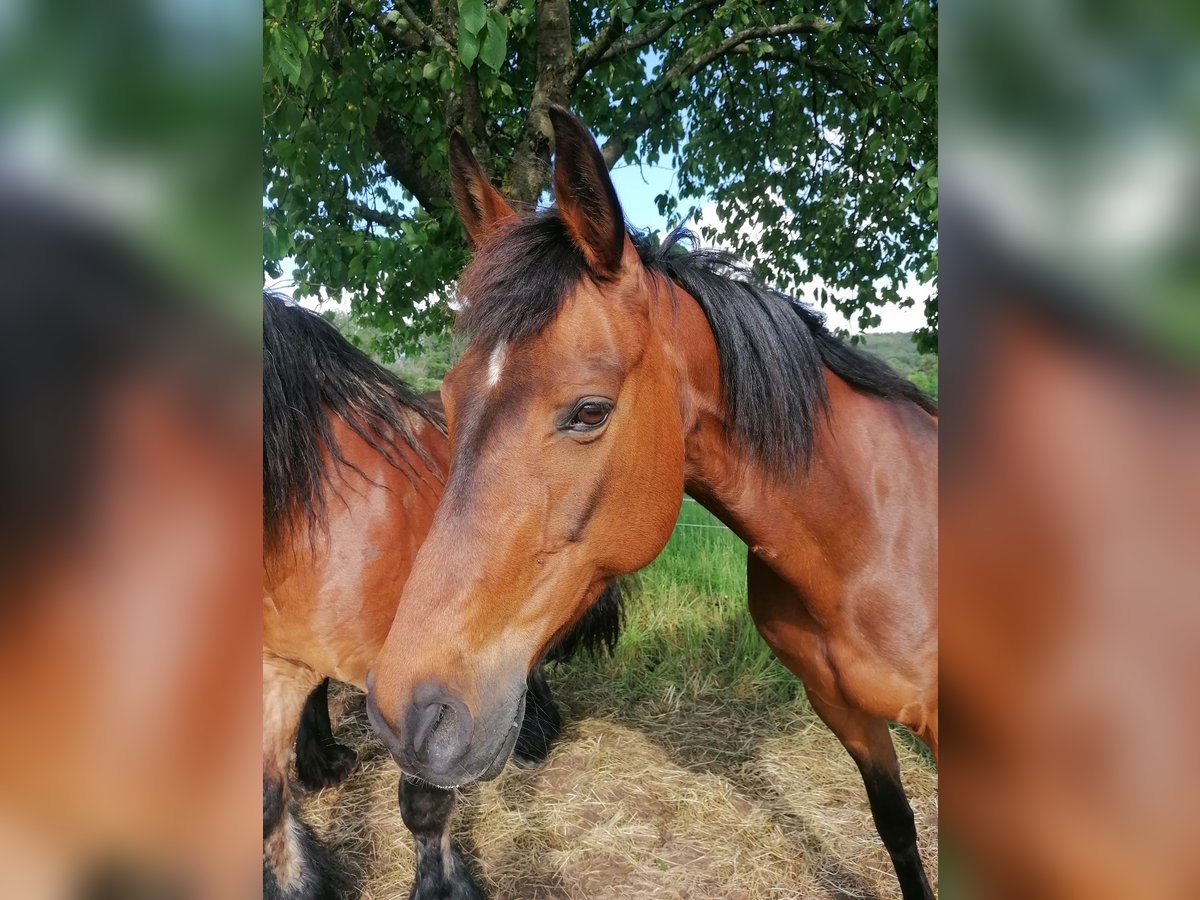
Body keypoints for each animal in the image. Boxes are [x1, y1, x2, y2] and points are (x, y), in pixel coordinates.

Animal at [364, 109, 936, 897]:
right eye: (447, 403)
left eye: (590, 411)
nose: (408, 715)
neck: (871, 540)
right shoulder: (845, 711)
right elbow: (897, 830)